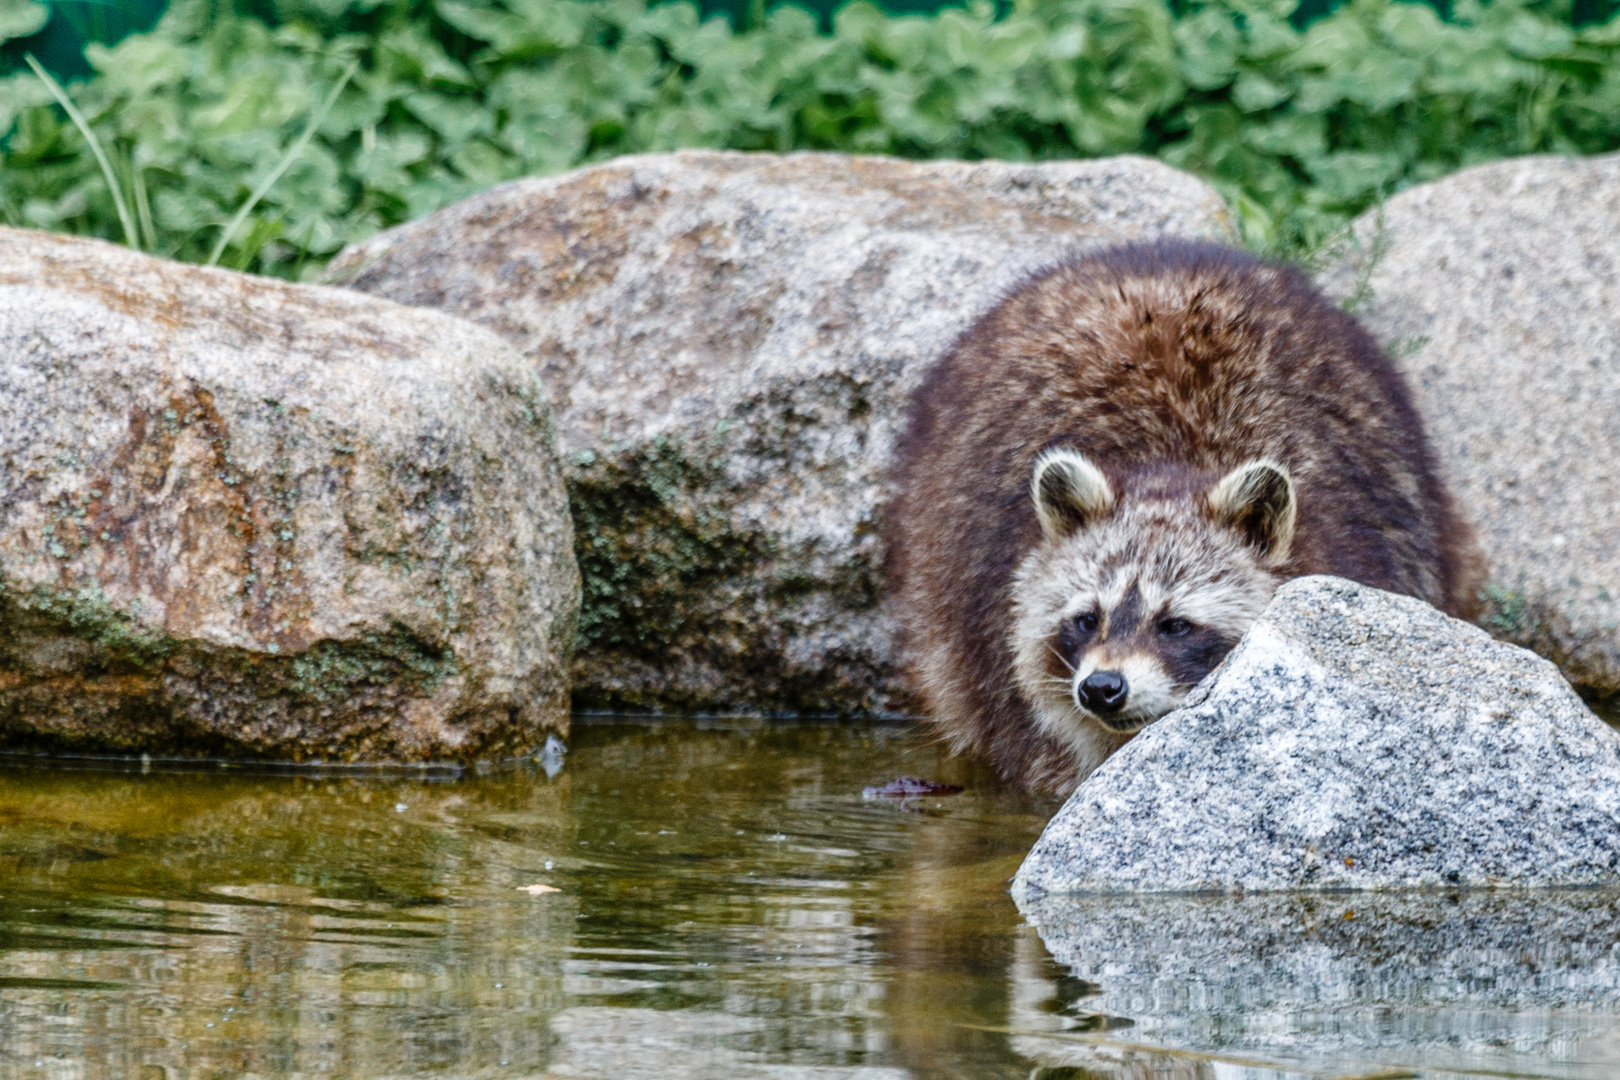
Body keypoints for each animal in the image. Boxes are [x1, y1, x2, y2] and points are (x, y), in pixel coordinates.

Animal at [887, 238, 1483, 793]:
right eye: (1087, 619)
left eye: (1175, 625)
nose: (1102, 688)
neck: (1172, 467)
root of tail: (1154, 254)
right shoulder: (999, 645)